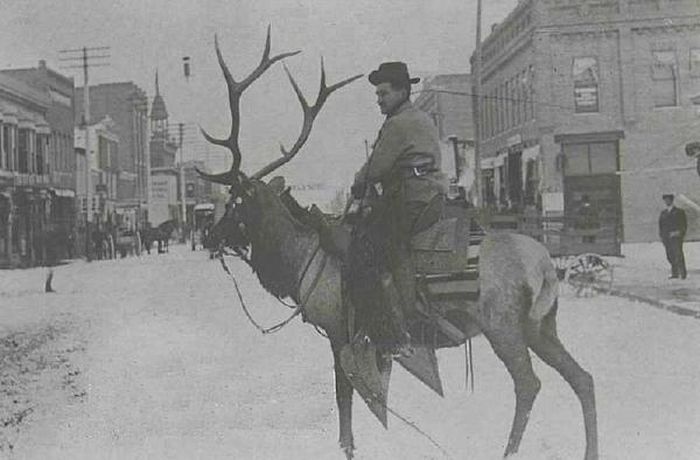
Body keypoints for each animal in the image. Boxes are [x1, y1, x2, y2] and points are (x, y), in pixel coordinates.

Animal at [200, 27, 600, 460]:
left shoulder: (340, 331)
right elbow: (373, 396)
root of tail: (545, 265)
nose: (208, 235)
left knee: (529, 384)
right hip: (541, 325)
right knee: (583, 377)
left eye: (234, 202)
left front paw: (348, 447)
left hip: (502, 324)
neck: (300, 263)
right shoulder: (371, 339)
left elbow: (345, 400)